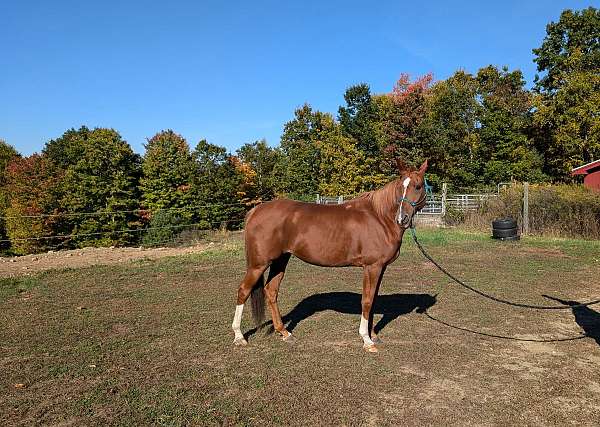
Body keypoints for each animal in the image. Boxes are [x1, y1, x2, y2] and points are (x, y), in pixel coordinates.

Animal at [230, 159, 426, 352]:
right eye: (401, 187)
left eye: (418, 186)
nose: (402, 218)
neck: (380, 217)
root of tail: (255, 211)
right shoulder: (372, 267)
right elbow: (367, 300)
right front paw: (366, 340)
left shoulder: (381, 268)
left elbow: (374, 299)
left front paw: (373, 335)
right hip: (258, 264)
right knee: (243, 291)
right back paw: (239, 337)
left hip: (280, 260)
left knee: (271, 291)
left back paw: (284, 332)